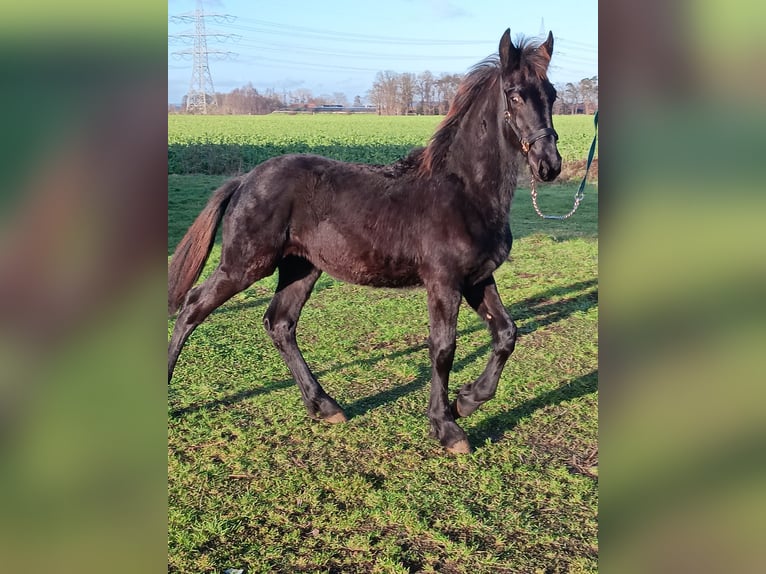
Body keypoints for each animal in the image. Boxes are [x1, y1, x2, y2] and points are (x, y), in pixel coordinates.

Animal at [170, 30, 564, 454]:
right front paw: (446, 427)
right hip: (244, 264)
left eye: (552, 94)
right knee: (192, 307)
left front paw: (467, 401)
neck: (463, 192)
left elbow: (506, 334)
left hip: (301, 268)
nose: (550, 165)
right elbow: (443, 348)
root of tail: (245, 179)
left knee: (279, 323)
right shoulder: (443, 282)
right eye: (514, 95)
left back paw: (324, 406)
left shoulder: (476, 278)